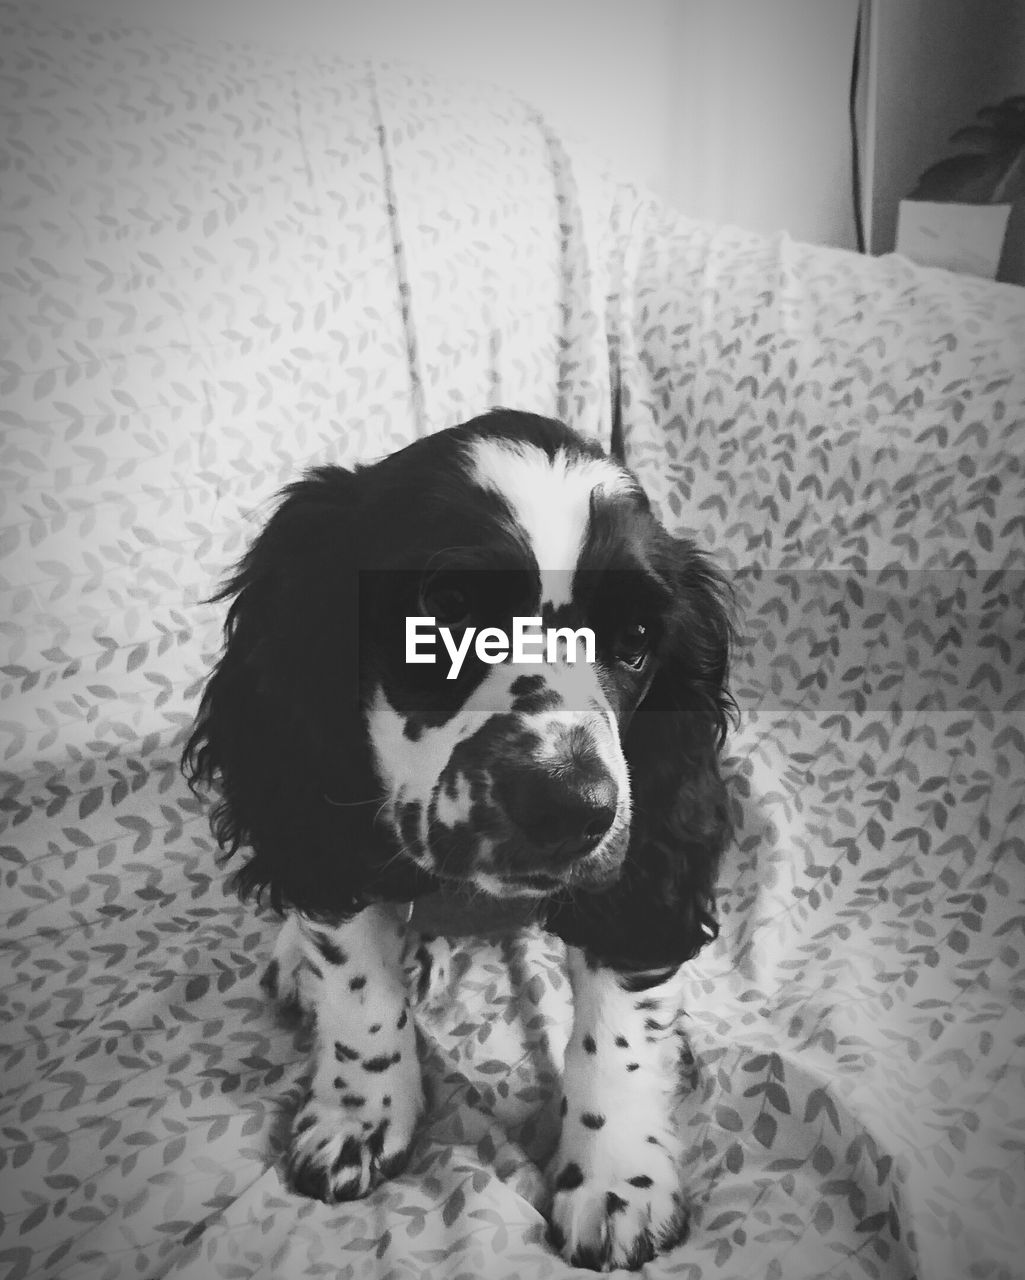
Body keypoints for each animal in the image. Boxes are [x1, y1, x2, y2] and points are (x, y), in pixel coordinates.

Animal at [181, 412, 726, 1269]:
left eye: (637, 637)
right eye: (443, 612)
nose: (571, 808)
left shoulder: (638, 874)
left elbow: (619, 1027)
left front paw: (616, 1178)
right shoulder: (337, 836)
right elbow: (358, 991)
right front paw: (360, 1117)